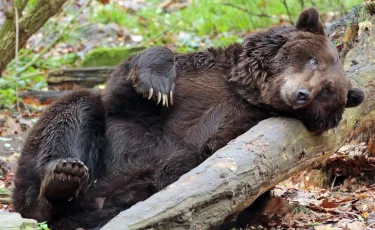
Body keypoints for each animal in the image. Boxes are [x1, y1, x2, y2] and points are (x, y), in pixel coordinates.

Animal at [11, 7, 364, 230]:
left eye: (327, 91)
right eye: (313, 60)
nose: (302, 94)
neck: (249, 91)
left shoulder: (239, 126)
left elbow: (212, 156)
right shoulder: (198, 79)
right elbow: (130, 90)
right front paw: (156, 84)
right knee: (76, 109)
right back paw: (61, 175)